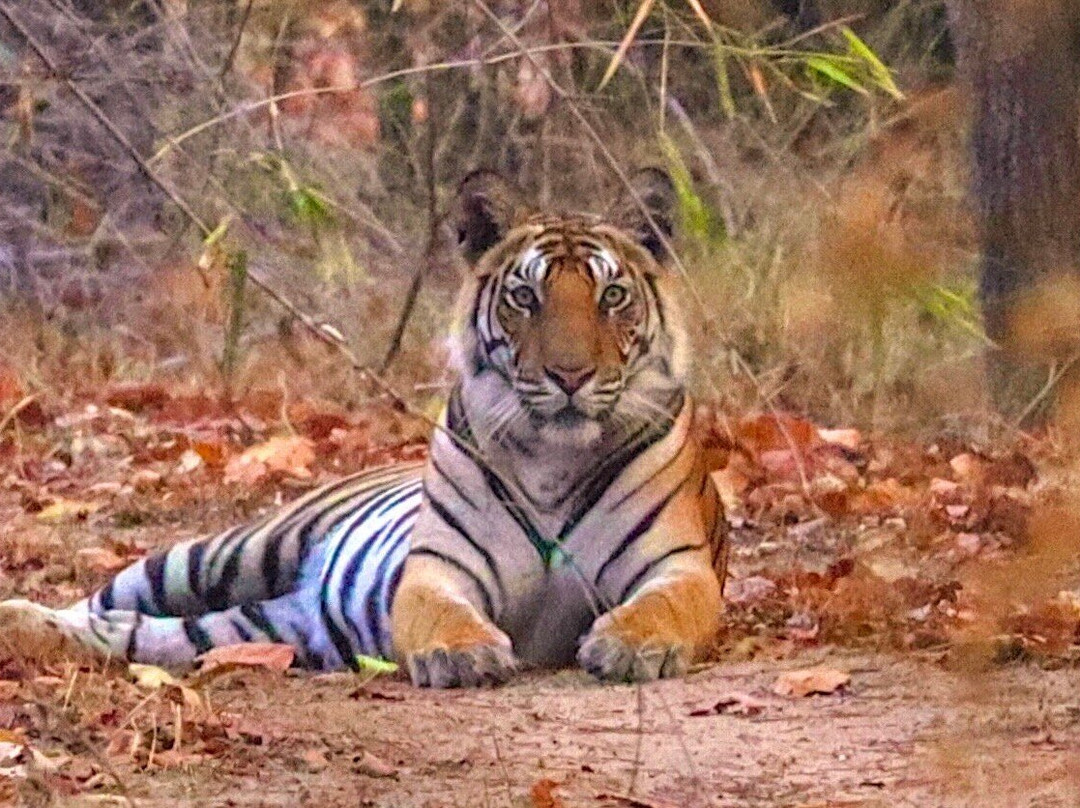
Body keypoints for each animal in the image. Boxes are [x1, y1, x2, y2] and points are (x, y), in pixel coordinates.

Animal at [0, 168, 728, 687]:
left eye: (613, 296)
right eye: (526, 297)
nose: (570, 375)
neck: (555, 458)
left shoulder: (679, 566)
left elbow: (662, 606)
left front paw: (631, 644)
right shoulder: (436, 569)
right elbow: (441, 611)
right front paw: (463, 655)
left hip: (253, 626)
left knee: (133, 632)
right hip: (220, 552)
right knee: (102, 603)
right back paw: (20, 618)